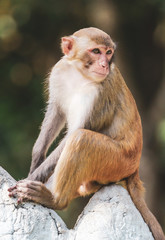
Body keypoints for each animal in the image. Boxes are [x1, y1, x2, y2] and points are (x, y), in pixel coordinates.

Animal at [8, 27, 164, 239]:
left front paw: (31, 178)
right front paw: (35, 161)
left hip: (117, 162)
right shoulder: (59, 71)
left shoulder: (99, 93)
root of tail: (134, 170)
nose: (104, 64)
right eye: (96, 51)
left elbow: (75, 133)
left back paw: (55, 200)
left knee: (82, 139)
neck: (79, 74)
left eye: (108, 52)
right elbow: (56, 111)